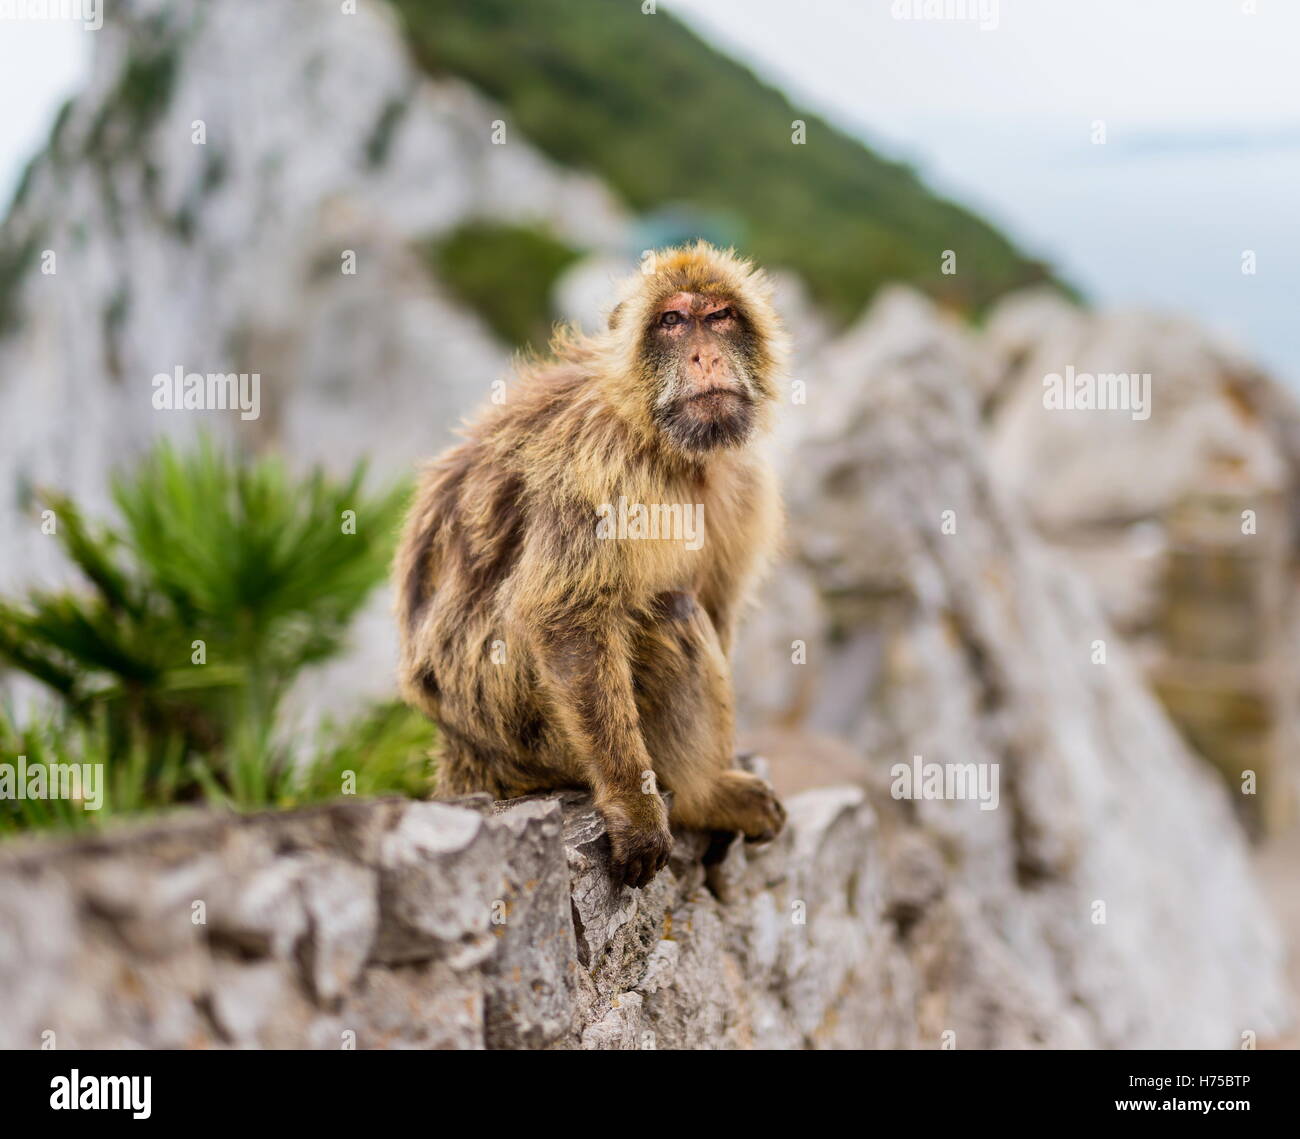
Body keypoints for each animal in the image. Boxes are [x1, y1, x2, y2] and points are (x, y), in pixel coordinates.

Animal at [395, 242, 788, 888]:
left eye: (720, 317)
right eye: (673, 321)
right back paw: (703, 796)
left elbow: (716, 604)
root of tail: (462, 749)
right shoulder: (601, 463)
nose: (704, 355)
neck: (667, 444)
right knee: (670, 613)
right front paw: (636, 809)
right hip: (530, 730)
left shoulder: (743, 482)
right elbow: (568, 620)